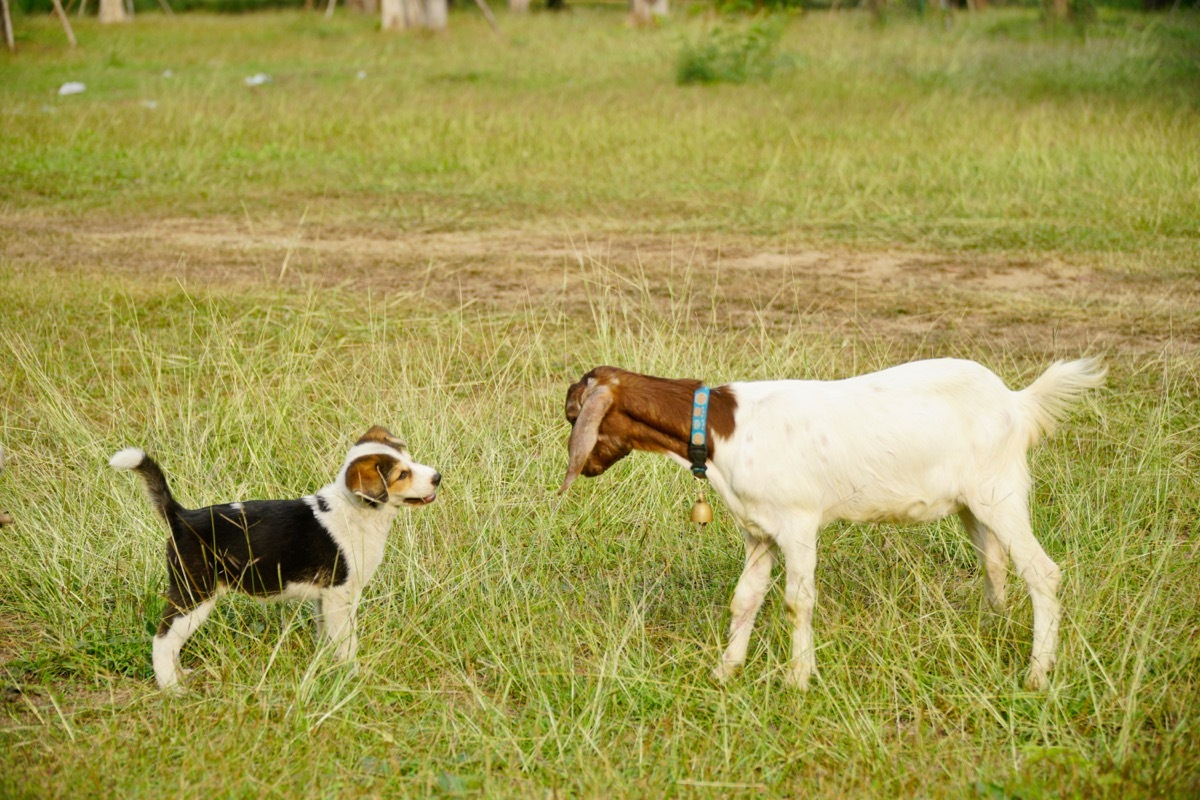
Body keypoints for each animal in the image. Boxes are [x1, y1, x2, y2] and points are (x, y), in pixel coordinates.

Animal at [111, 424, 441, 695]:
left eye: (410, 460)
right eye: (401, 475)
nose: (437, 477)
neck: (357, 509)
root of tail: (181, 518)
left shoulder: (324, 598)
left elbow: (326, 637)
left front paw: (325, 669)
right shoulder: (340, 594)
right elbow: (347, 643)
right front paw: (352, 676)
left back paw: (181, 676)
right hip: (195, 593)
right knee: (163, 641)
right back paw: (172, 689)